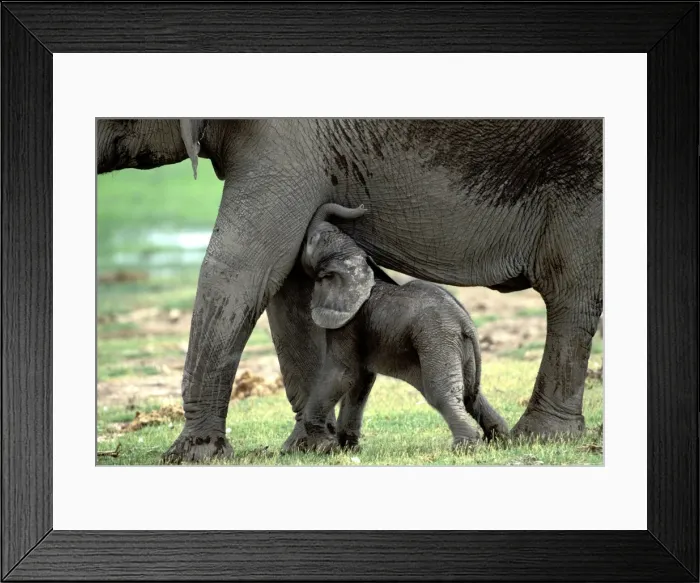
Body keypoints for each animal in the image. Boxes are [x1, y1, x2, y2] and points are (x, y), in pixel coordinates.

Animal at [291, 202, 510, 453]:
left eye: (311, 241)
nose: (363, 207)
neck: (357, 263)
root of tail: (466, 323)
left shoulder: (349, 323)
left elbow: (343, 373)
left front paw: (325, 448)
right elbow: (361, 379)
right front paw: (347, 448)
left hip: (437, 339)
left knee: (441, 392)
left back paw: (465, 448)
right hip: (458, 348)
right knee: (470, 395)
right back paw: (500, 440)